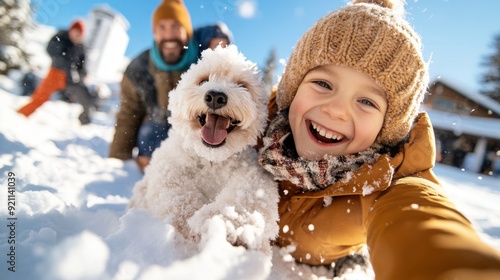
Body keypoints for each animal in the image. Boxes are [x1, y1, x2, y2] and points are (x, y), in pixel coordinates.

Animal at [131, 44, 280, 253]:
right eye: (203, 80)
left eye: (242, 85)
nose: (216, 96)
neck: (211, 159)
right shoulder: (168, 168)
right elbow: (177, 197)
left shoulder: (251, 172)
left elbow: (250, 194)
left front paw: (226, 224)